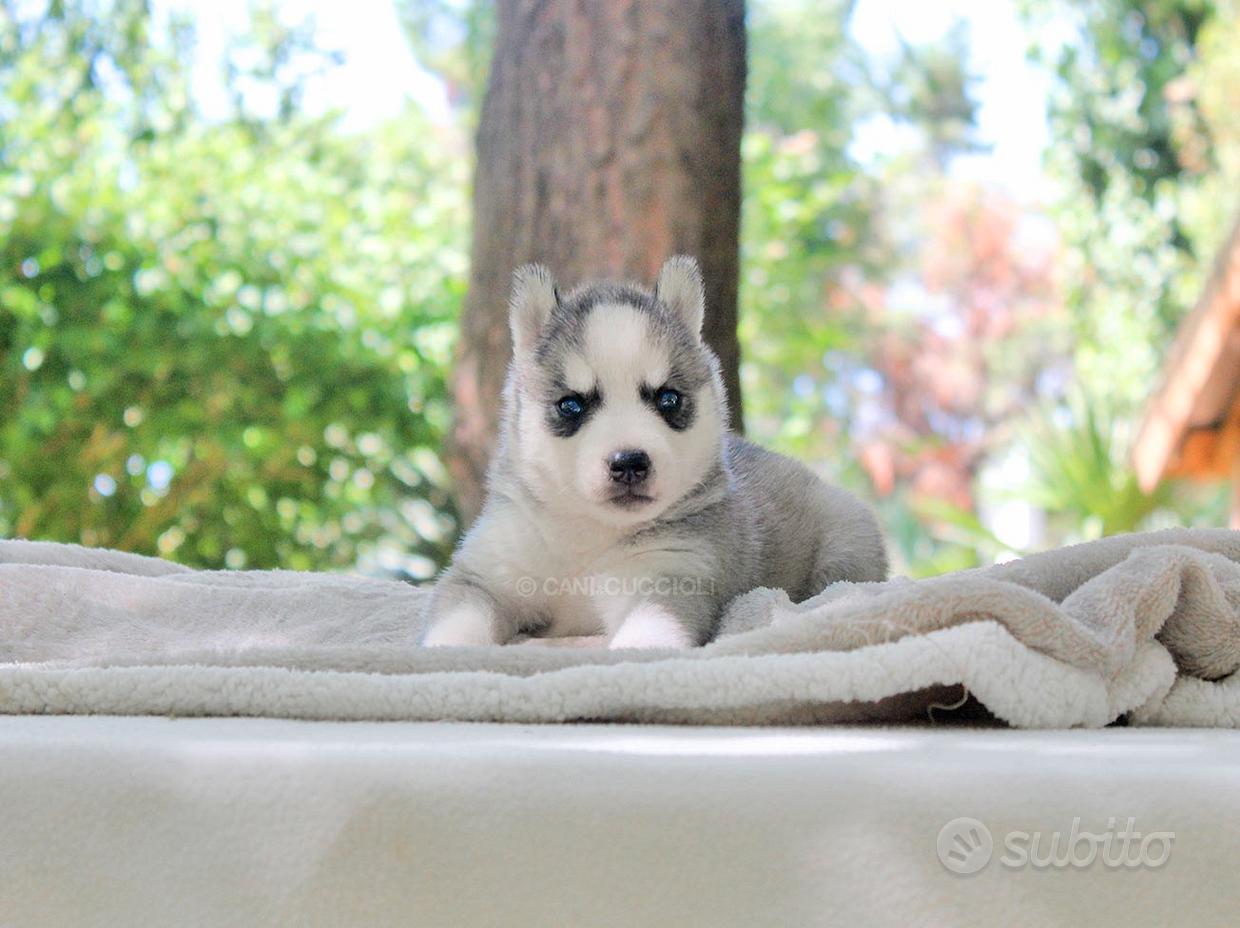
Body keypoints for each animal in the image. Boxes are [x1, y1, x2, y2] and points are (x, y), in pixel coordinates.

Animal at [421, 254, 887, 645]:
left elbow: (649, 631)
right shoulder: (487, 573)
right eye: (571, 405)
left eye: (668, 399)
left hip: (846, 539)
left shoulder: (670, 575)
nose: (629, 462)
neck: (588, 537)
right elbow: (460, 619)